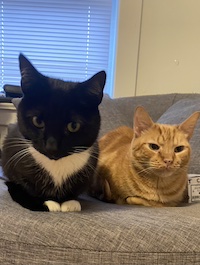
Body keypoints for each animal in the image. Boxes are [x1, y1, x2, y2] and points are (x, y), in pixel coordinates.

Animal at [1, 54, 106, 211]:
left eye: (73, 126)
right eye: (38, 121)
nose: (52, 146)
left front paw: (70, 202)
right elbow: (23, 186)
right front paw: (48, 203)